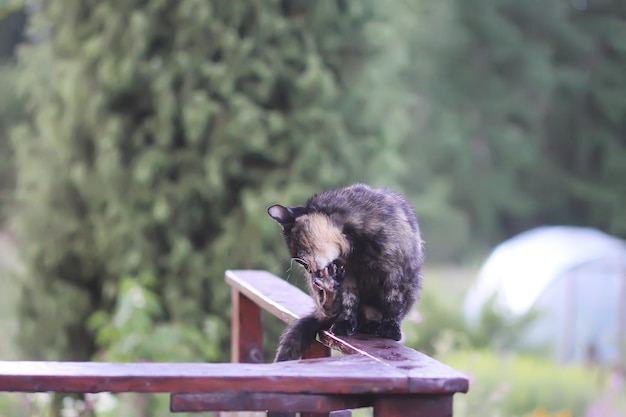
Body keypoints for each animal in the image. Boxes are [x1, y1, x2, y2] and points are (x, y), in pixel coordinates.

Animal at [266, 183, 422, 360]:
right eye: (299, 260)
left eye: (300, 252)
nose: (310, 271)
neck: (358, 252)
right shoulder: (349, 276)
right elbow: (349, 300)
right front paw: (344, 324)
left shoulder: (398, 272)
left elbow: (394, 301)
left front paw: (390, 328)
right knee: (329, 308)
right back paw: (330, 288)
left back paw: (373, 325)